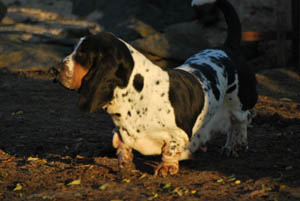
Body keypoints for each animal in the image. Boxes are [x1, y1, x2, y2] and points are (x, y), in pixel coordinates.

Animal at [52, 0, 258, 176]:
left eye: (82, 54)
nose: (55, 69)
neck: (138, 95)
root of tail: (227, 48)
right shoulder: (122, 131)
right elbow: (122, 145)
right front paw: (125, 162)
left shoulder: (178, 135)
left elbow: (170, 149)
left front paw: (167, 167)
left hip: (238, 102)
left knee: (240, 121)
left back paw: (235, 145)